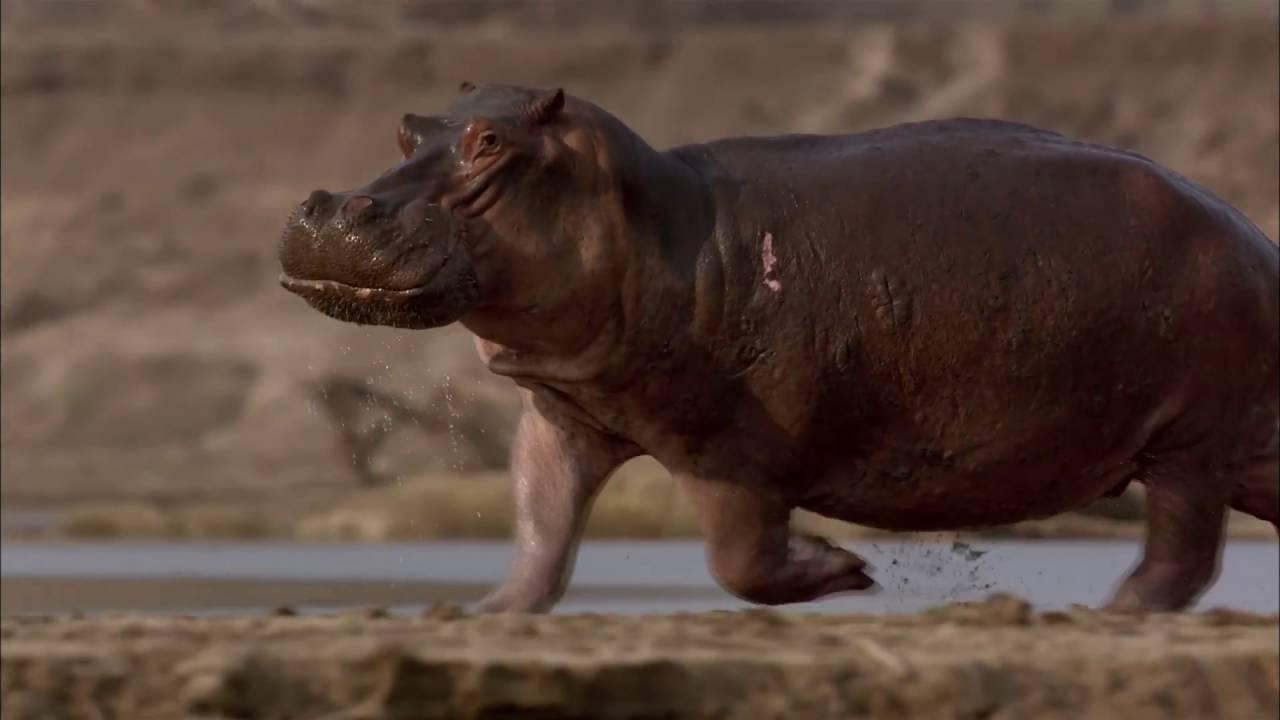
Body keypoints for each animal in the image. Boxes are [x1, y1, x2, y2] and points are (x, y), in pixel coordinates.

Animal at [278, 83, 1279, 614]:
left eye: (490, 141)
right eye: (407, 128)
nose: (332, 208)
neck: (651, 218)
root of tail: (1258, 239)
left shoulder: (726, 448)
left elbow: (741, 561)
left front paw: (848, 570)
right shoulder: (562, 410)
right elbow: (540, 522)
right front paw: (481, 610)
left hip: (1190, 443)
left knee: (1182, 552)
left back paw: (1109, 607)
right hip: (1233, 449)